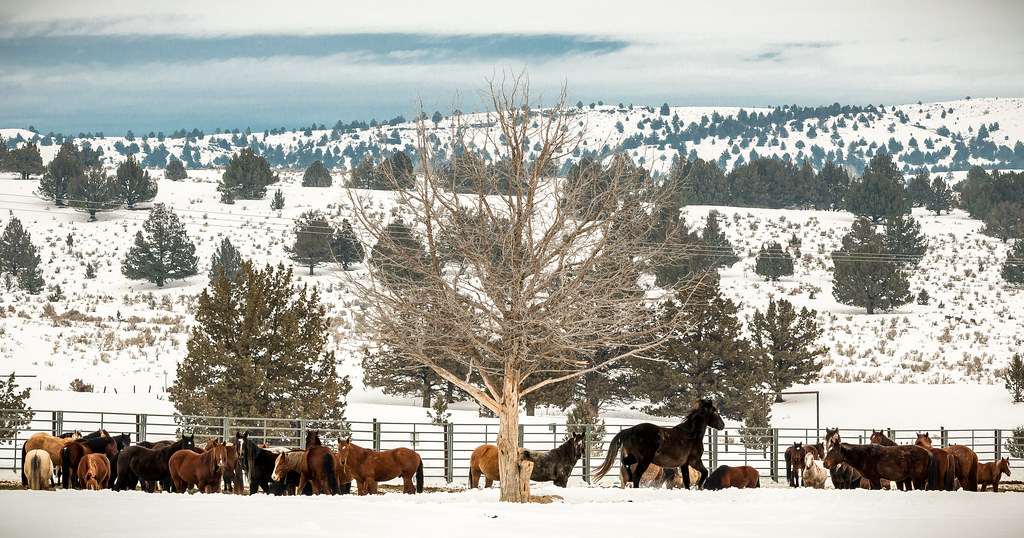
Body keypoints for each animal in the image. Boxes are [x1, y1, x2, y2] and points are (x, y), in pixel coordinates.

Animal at [592, 399, 725, 489]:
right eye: (715, 412)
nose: (722, 425)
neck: (692, 434)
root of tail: (630, 430)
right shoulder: (695, 461)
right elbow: (705, 472)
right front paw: (699, 485)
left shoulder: (684, 464)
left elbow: (687, 480)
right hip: (644, 460)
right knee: (637, 475)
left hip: (635, 457)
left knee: (626, 464)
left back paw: (629, 478)